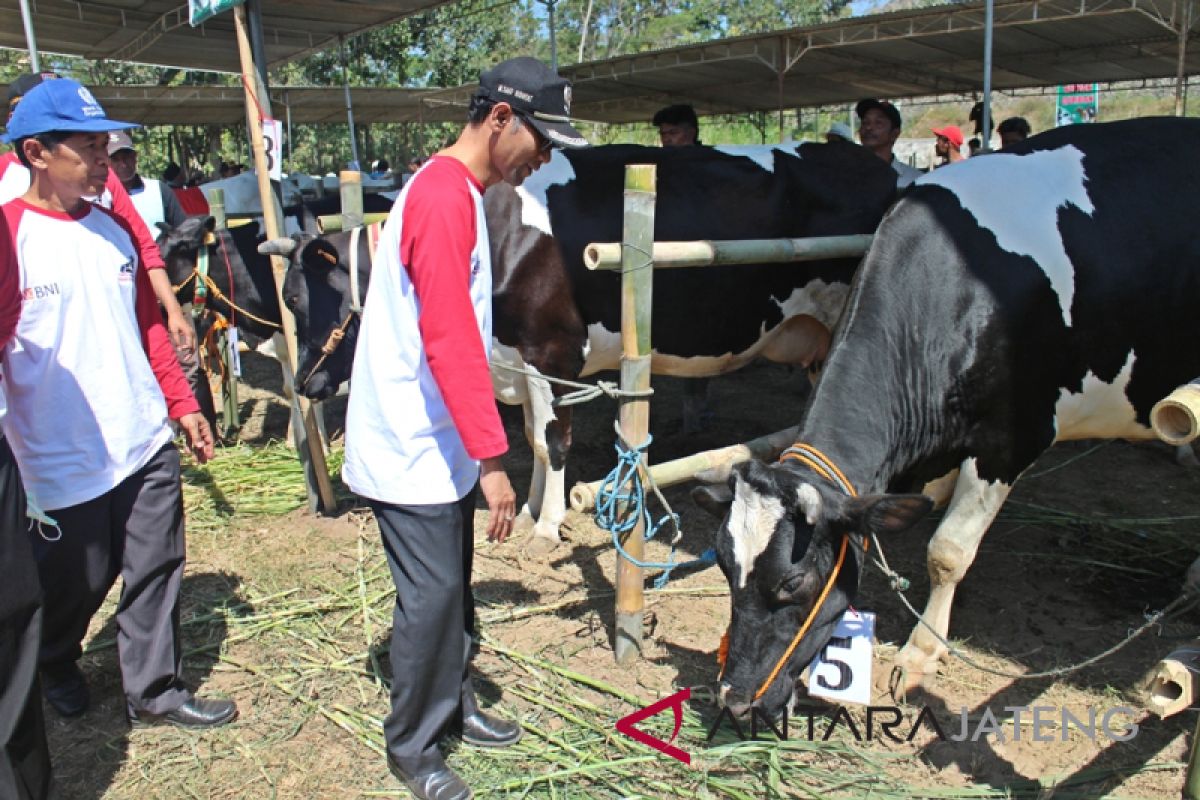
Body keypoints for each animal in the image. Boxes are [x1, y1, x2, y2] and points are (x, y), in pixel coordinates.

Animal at [272, 140, 897, 546]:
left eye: (300, 300)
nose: (305, 382)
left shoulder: (553, 352)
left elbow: (552, 442)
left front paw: (548, 525)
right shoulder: (519, 360)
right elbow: (531, 435)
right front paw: (529, 510)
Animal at [696, 115, 1200, 714]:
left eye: (792, 584)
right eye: (725, 566)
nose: (734, 699)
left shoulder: (1011, 440)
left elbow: (948, 550)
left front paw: (920, 653)